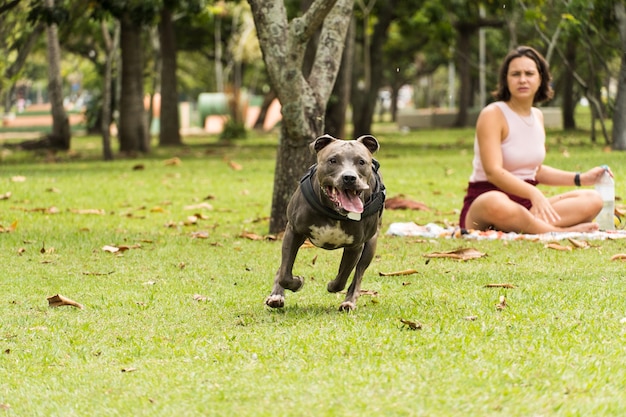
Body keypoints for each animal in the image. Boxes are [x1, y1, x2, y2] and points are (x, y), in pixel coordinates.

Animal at [262, 133, 382, 308]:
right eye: (333, 160)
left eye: (361, 162)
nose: (349, 177)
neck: (334, 211)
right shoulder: (293, 231)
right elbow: (285, 273)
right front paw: (297, 282)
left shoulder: (355, 246)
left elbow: (342, 277)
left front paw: (332, 285)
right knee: (283, 266)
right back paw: (276, 296)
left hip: (370, 244)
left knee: (358, 274)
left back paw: (349, 302)